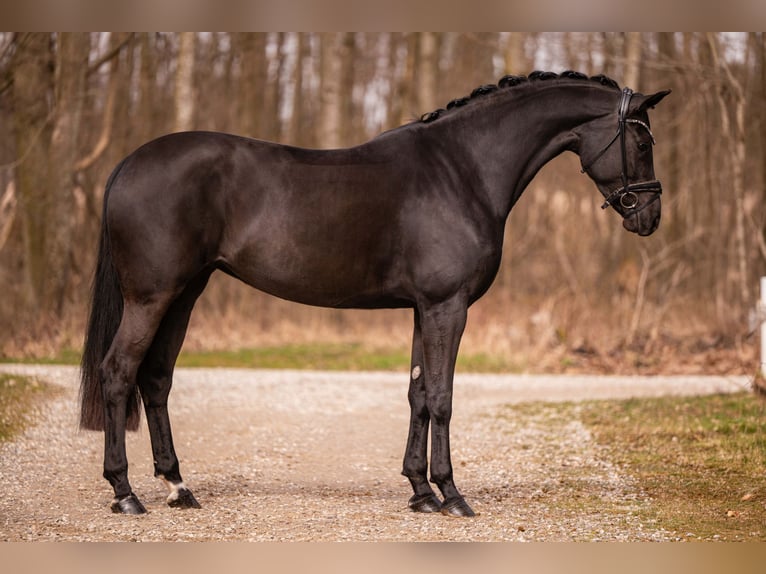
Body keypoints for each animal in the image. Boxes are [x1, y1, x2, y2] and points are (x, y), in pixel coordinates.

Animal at [79, 70, 670, 517]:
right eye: (642, 141)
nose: (650, 216)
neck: (463, 170)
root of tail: (130, 163)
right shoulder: (447, 307)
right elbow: (442, 397)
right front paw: (452, 494)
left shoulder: (424, 309)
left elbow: (417, 394)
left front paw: (420, 492)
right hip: (151, 297)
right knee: (119, 372)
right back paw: (125, 493)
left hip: (185, 293)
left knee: (156, 378)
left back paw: (178, 486)